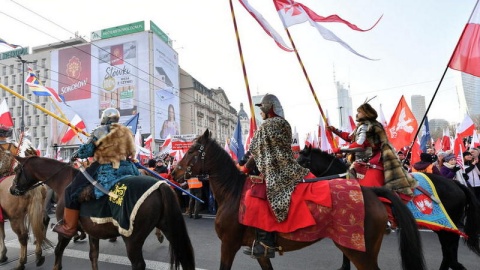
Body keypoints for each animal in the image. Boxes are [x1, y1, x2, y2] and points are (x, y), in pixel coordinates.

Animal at [10, 155, 195, 270]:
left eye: (18, 170)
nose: (12, 190)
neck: (63, 181)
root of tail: (161, 185)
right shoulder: (93, 231)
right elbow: (93, 256)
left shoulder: (65, 231)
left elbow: (58, 252)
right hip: (169, 227)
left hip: (132, 239)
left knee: (138, 264)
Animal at [171, 129, 426, 270]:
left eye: (192, 150)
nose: (174, 172)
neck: (231, 193)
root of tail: (371, 191)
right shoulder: (260, 251)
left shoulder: (228, 244)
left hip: (360, 252)